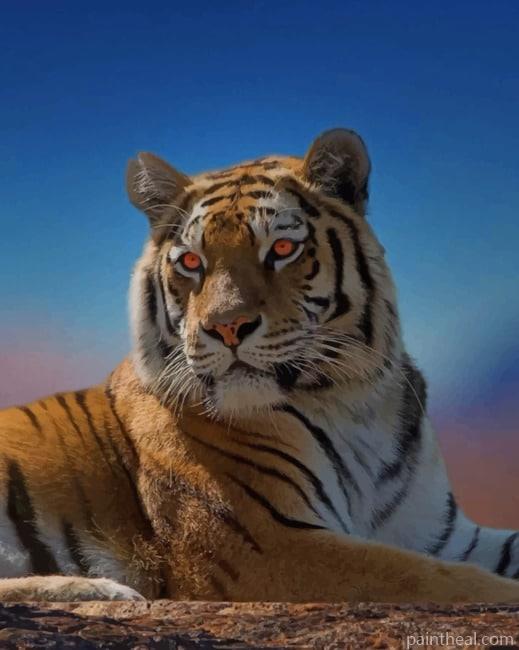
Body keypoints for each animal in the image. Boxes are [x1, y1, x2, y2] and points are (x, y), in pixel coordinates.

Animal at [0, 128, 518, 603]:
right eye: (192, 261)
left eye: (282, 250)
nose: (227, 326)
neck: (358, 401)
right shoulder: (267, 543)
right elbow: (443, 580)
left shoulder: (442, 534)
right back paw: (101, 589)